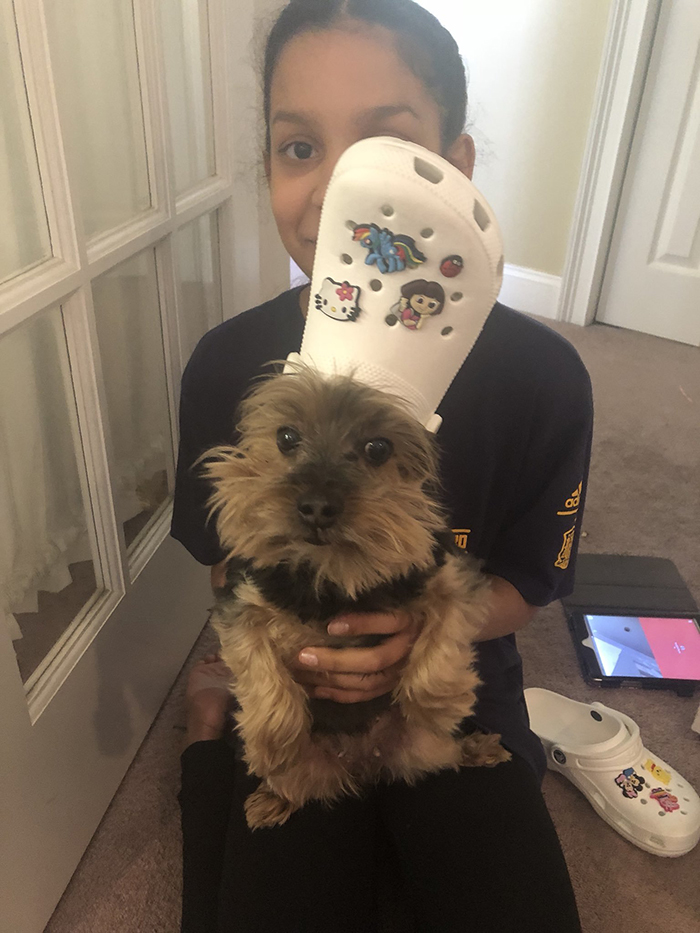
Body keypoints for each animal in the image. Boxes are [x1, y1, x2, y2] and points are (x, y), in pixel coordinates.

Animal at [200, 364, 512, 832]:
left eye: (377, 448)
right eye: (286, 437)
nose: (317, 506)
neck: (335, 572)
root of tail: (363, 764)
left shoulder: (448, 576)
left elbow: (446, 636)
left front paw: (439, 704)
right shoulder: (241, 600)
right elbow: (257, 667)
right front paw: (270, 742)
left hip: (422, 746)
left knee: (445, 752)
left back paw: (476, 748)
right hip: (310, 767)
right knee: (294, 782)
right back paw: (272, 798)